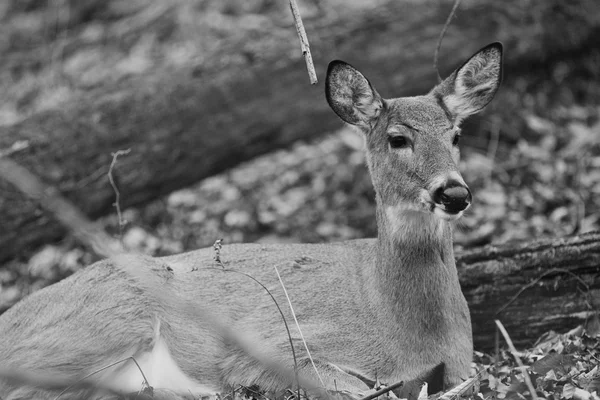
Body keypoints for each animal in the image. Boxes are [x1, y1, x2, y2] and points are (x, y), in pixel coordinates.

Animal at [0, 43, 502, 400]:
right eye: (398, 138)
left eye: (456, 134)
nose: (455, 193)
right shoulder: (277, 345)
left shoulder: (462, 365)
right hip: (110, 317)